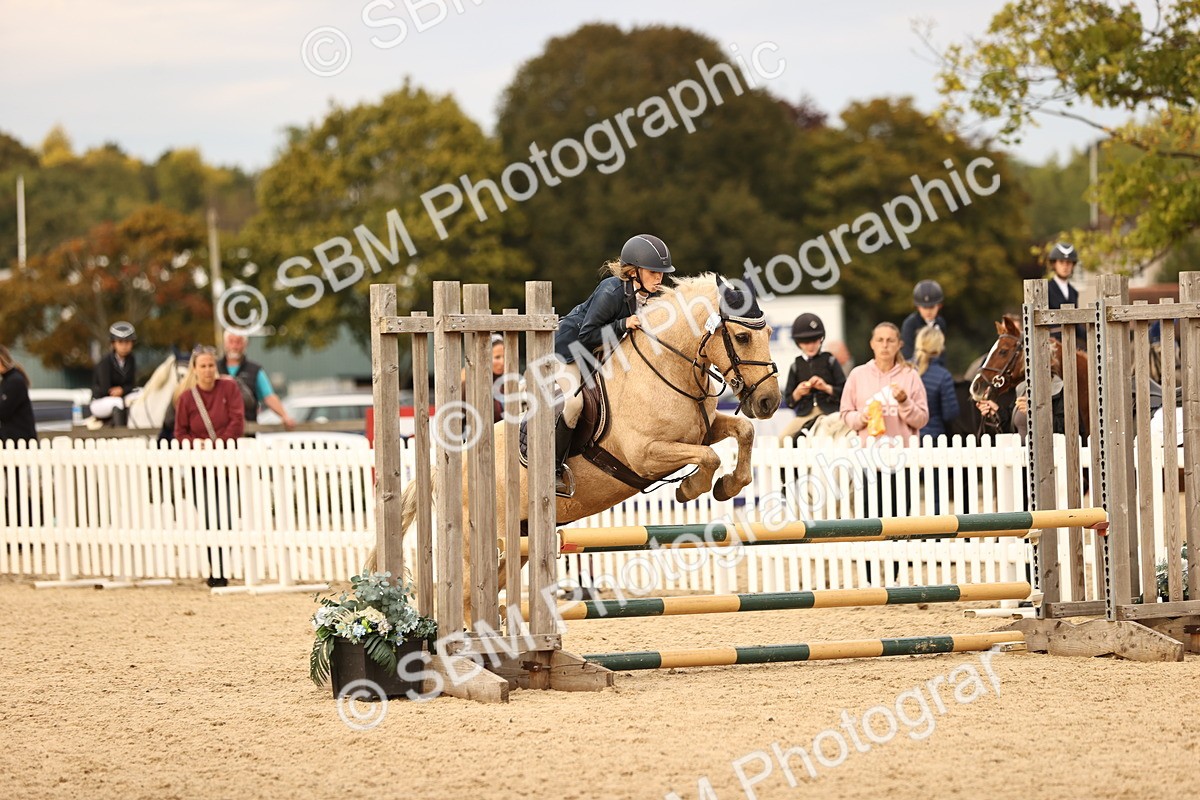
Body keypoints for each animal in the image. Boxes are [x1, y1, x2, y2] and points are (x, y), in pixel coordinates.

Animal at [371, 273, 783, 627]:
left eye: (768, 333)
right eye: (742, 337)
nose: (768, 402)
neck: (665, 367)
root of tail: (444, 467)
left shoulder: (703, 432)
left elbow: (743, 432)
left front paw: (728, 486)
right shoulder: (647, 454)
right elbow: (709, 457)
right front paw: (690, 488)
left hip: (519, 543)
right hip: (478, 542)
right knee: (466, 598)